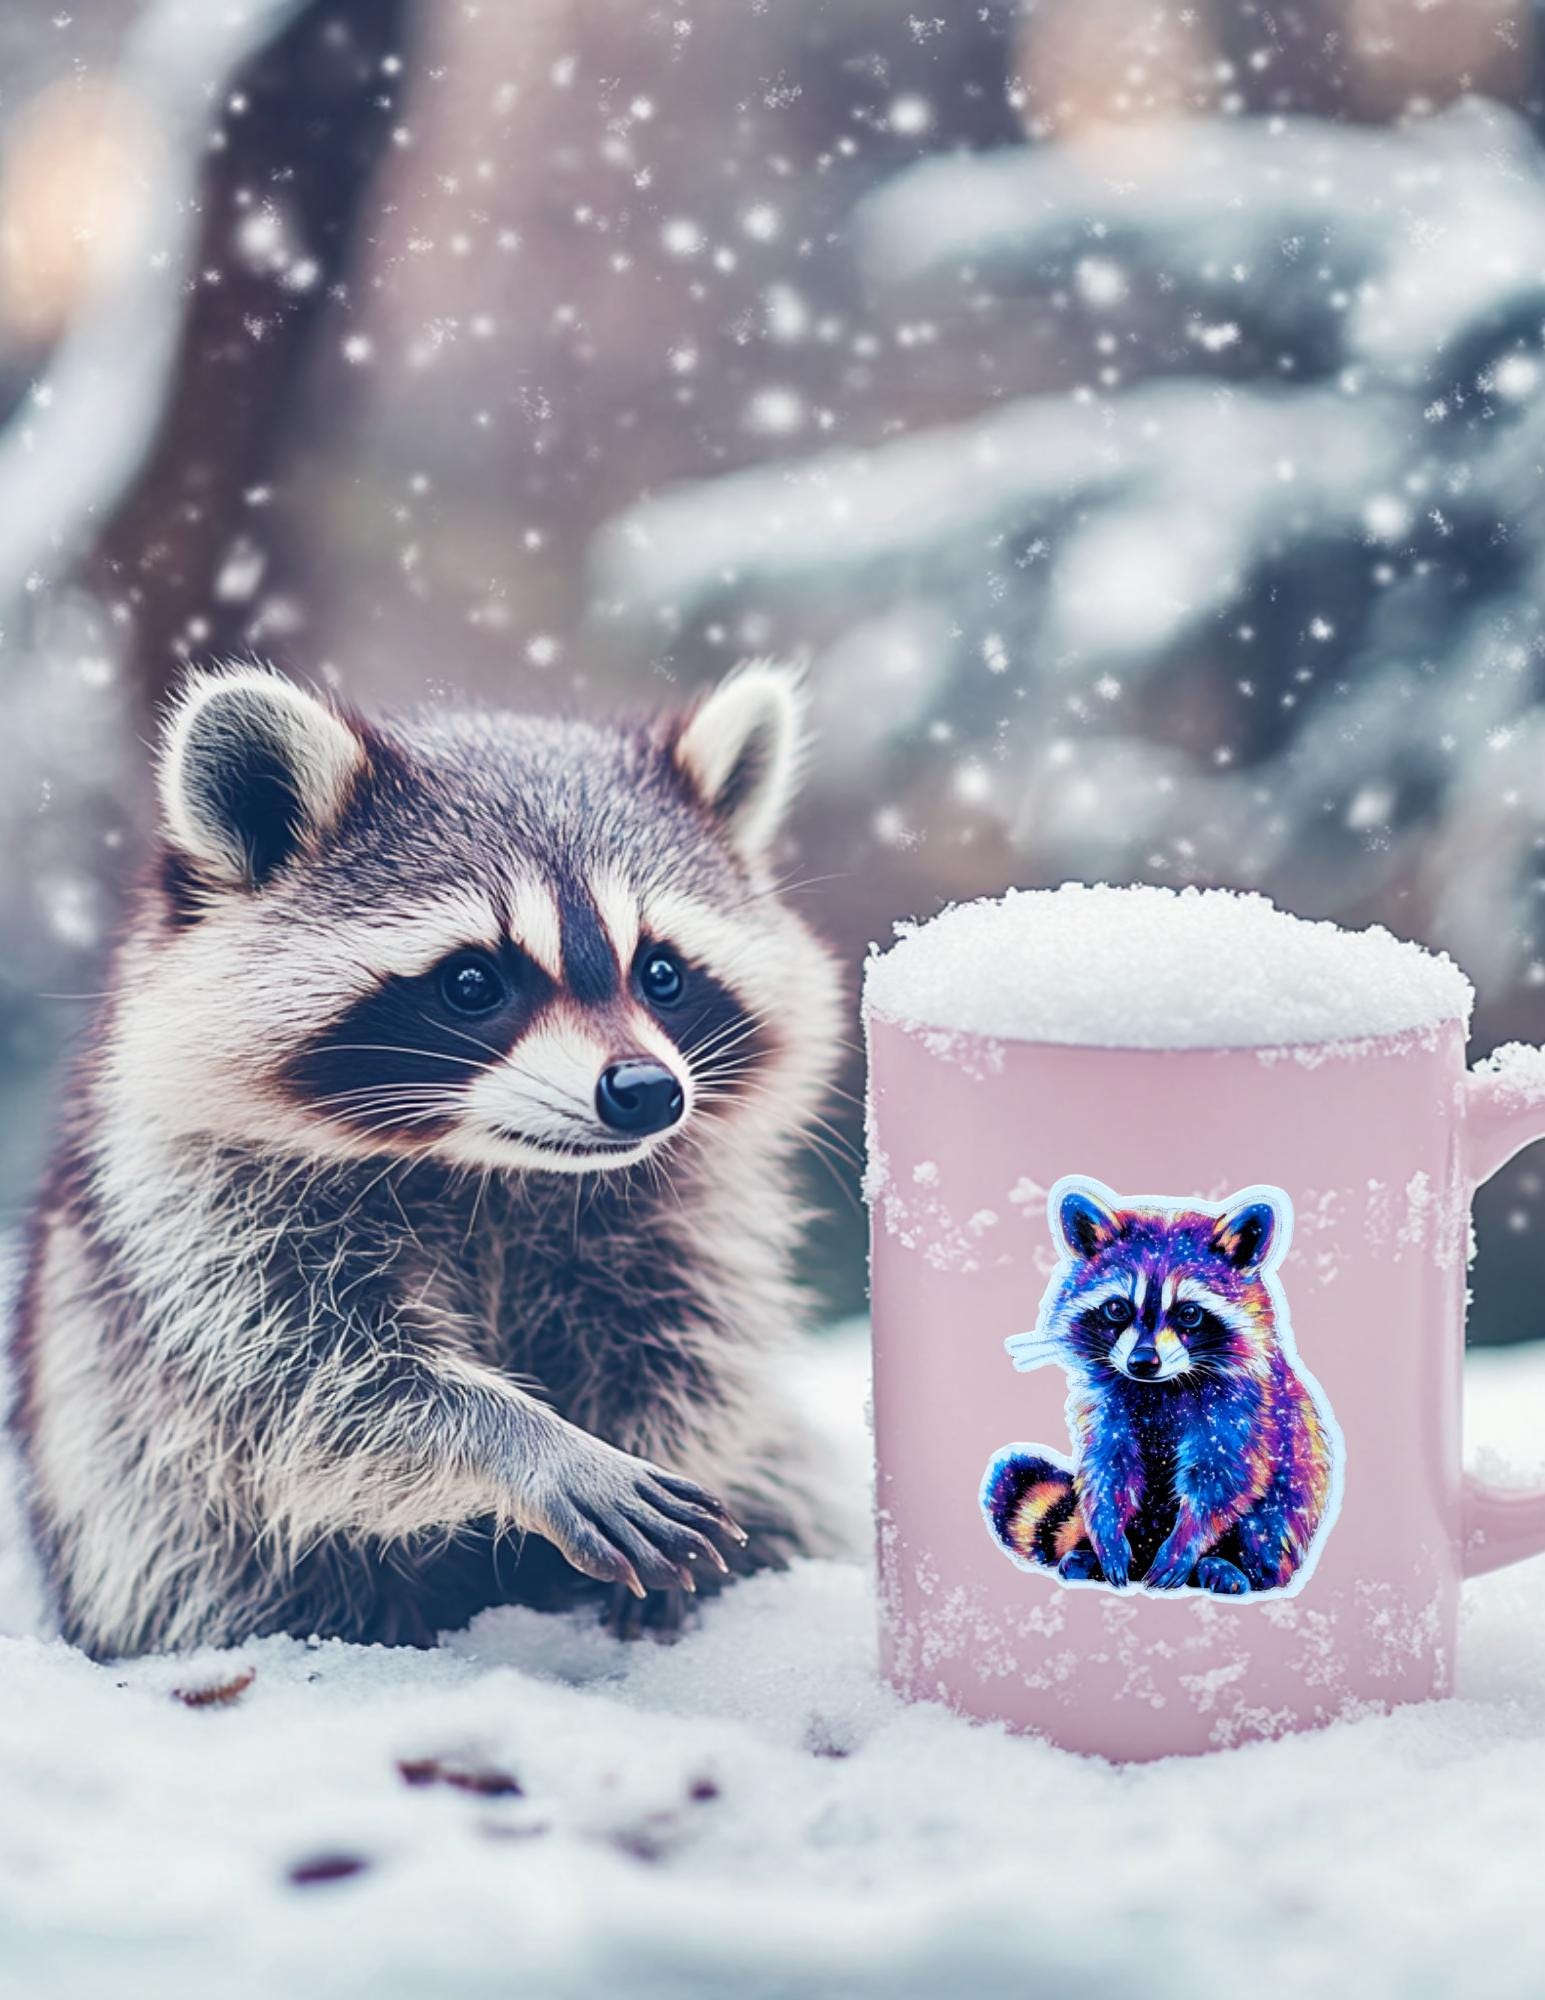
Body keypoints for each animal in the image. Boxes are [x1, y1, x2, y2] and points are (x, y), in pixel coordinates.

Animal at [12, 662, 846, 1657]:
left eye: (661, 973)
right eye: (473, 983)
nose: (646, 1092)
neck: (498, 1168)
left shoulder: (681, 1208)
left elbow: (689, 1350)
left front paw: (668, 1452)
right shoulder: (194, 1215)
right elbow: (310, 1385)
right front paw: (523, 1442)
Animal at [983, 1177, 1338, 1596]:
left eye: (1189, 1313)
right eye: (1117, 1308)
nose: (1141, 1362)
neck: (1160, 1388)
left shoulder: (1241, 1408)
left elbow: (1222, 1477)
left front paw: (1185, 1544)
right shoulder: (1108, 1403)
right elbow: (1108, 1468)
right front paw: (1108, 1538)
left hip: (1293, 1502)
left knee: (1270, 1523)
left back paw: (1228, 1566)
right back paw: (1091, 1555)